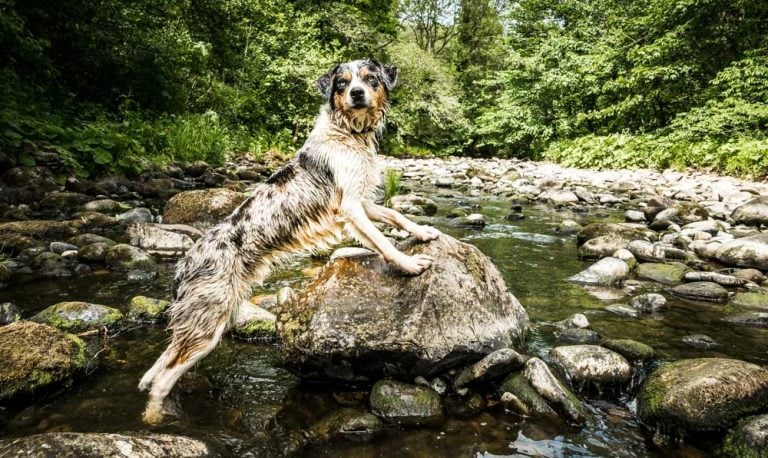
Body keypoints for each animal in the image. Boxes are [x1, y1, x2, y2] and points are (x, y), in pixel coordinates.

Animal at [135, 59, 440, 424]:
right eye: (342, 83)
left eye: (370, 79)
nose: (356, 93)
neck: (348, 134)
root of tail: (185, 263)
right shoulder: (350, 208)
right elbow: (383, 241)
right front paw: (409, 264)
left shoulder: (360, 202)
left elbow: (394, 215)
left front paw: (422, 232)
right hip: (208, 325)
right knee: (163, 380)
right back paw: (154, 419)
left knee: (162, 364)